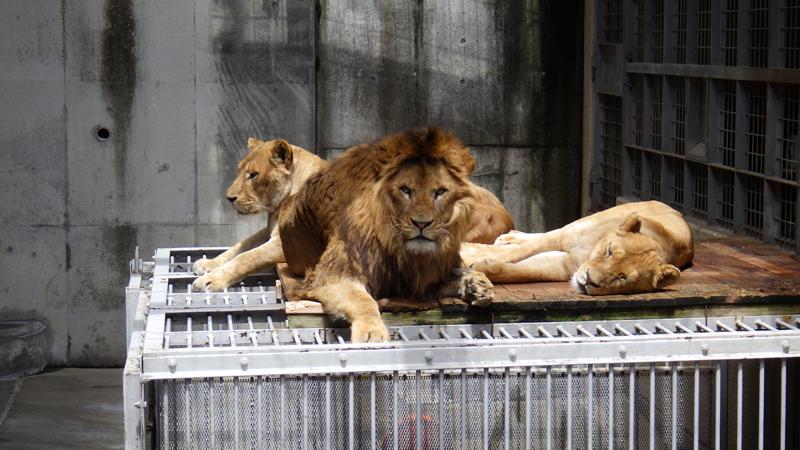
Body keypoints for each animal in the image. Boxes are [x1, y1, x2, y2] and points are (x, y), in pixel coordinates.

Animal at [192, 135, 513, 292]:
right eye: (240, 171)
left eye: (253, 175)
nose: (229, 198)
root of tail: (507, 216)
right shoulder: (267, 232)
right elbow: (239, 246)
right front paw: (207, 264)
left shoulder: (283, 245)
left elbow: (247, 257)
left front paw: (212, 280)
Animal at [277, 127, 495, 342]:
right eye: (405, 190)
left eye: (440, 192)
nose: (421, 223)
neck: (401, 248)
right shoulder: (333, 275)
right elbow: (364, 301)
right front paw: (371, 333)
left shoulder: (423, 275)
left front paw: (477, 285)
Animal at [461, 201, 694, 295]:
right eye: (610, 251)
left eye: (621, 278)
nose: (588, 280)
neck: (591, 251)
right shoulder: (563, 237)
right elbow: (514, 253)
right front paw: (468, 255)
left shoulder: (563, 266)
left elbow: (518, 271)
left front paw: (479, 267)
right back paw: (508, 237)